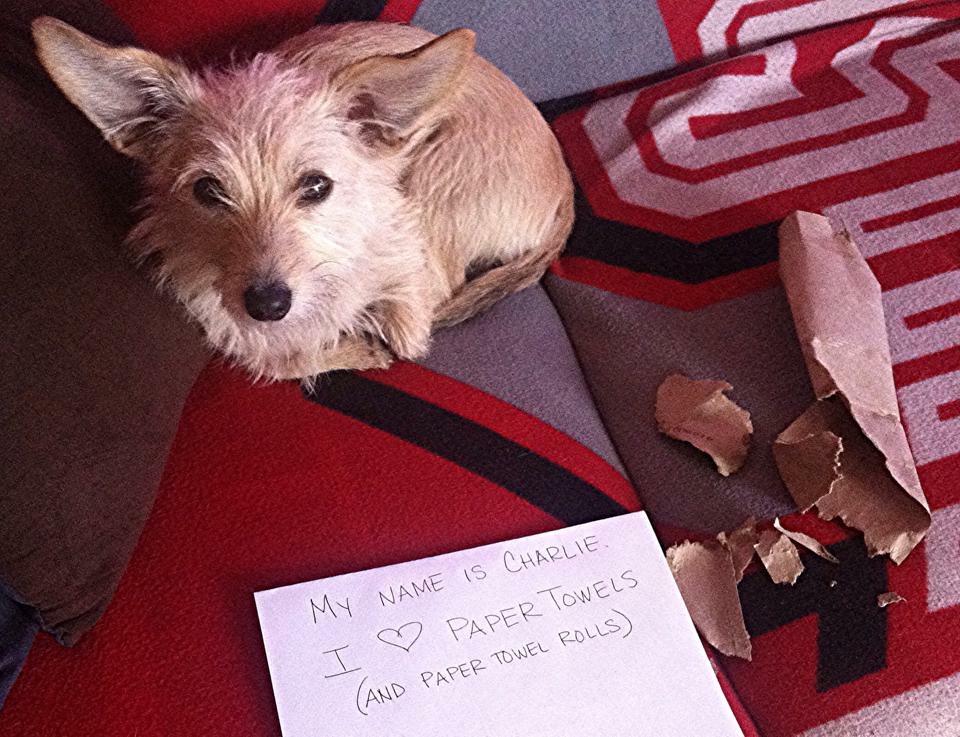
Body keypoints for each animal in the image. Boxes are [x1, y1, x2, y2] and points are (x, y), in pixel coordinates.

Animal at [32, 19, 574, 381]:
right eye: (207, 190)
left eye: (316, 186)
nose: (268, 304)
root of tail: (566, 184)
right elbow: (271, 354)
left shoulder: (410, 278)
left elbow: (399, 332)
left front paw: (360, 337)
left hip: (437, 178)